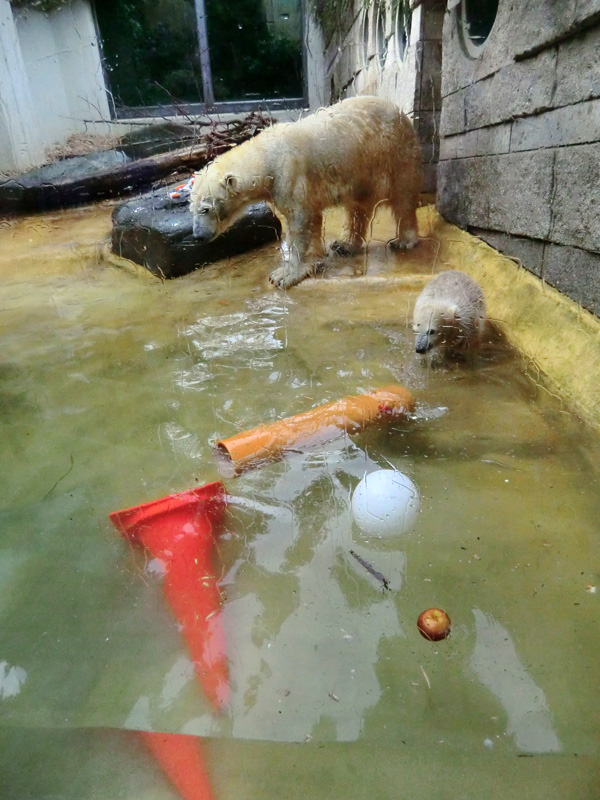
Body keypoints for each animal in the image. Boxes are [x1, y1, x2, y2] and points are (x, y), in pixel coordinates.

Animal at [191, 96, 422, 290]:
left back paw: (403, 240)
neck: (268, 156)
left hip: (393, 153)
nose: (198, 235)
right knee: (357, 205)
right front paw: (313, 260)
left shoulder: (290, 175)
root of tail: (401, 113)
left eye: (206, 209)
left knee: (401, 195)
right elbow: (312, 219)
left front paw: (285, 274)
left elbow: (301, 220)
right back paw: (345, 244)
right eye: (192, 208)